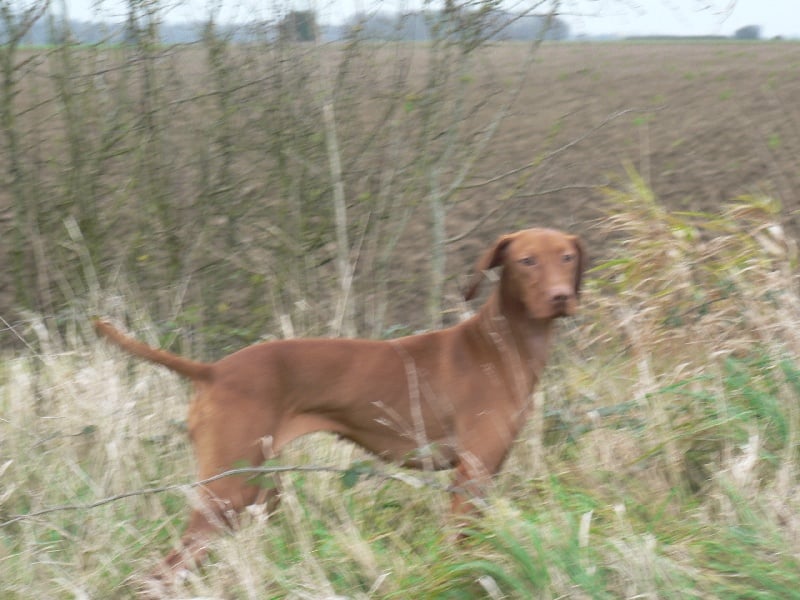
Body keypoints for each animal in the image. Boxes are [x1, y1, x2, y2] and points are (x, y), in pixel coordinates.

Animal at [94, 227, 584, 576]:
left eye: (567, 256)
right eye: (526, 260)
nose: (561, 297)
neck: (499, 346)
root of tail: (213, 370)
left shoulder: (485, 474)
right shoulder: (471, 475)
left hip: (255, 491)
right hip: (227, 493)